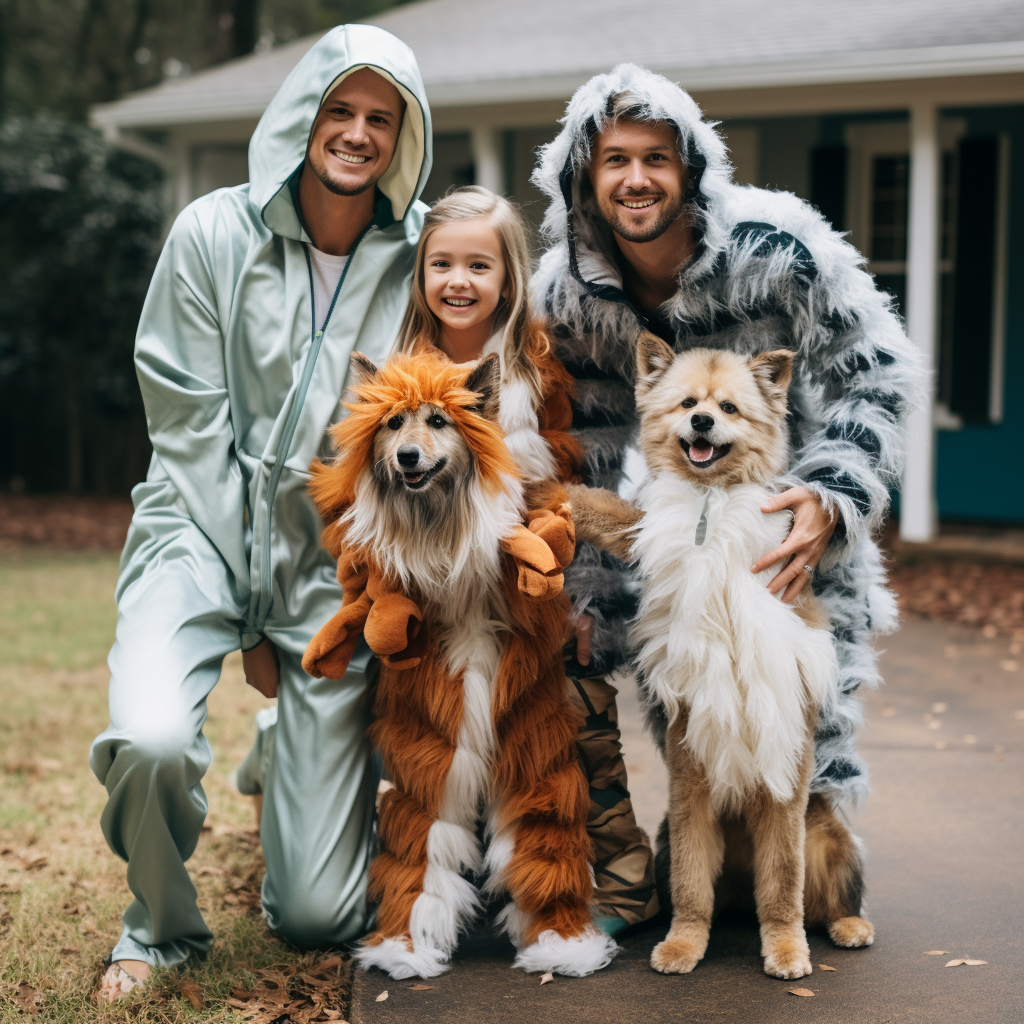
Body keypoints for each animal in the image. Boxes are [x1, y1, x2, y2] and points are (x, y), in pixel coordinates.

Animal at [299, 352, 614, 983]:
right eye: (393, 423)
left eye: (440, 422)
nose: (406, 458)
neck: (437, 519)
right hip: (433, 746)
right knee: (422, 834)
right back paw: (404, 947)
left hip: (530, 739)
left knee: (544, 830)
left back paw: (562, 943)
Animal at [569, 333, 872, 974]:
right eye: (688, 404)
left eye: (728, 408)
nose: (702, 421)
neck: (710, 499)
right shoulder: (691, 793)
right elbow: (691, 890)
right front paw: (683, 946)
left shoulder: (783, 796)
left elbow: (783, 886)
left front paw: (785, 951)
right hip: (671, 835)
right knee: (706, 893)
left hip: (827, 840)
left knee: (822, 897)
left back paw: (849, 926)